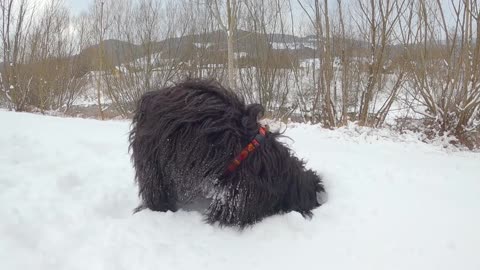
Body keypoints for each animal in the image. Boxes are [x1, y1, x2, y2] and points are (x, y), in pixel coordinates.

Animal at [129, 79, 324, 227]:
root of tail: (148, 100)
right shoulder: (242, 192)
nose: (318, 204)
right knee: (154, 187)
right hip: (154, 160)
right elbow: (229, 214)